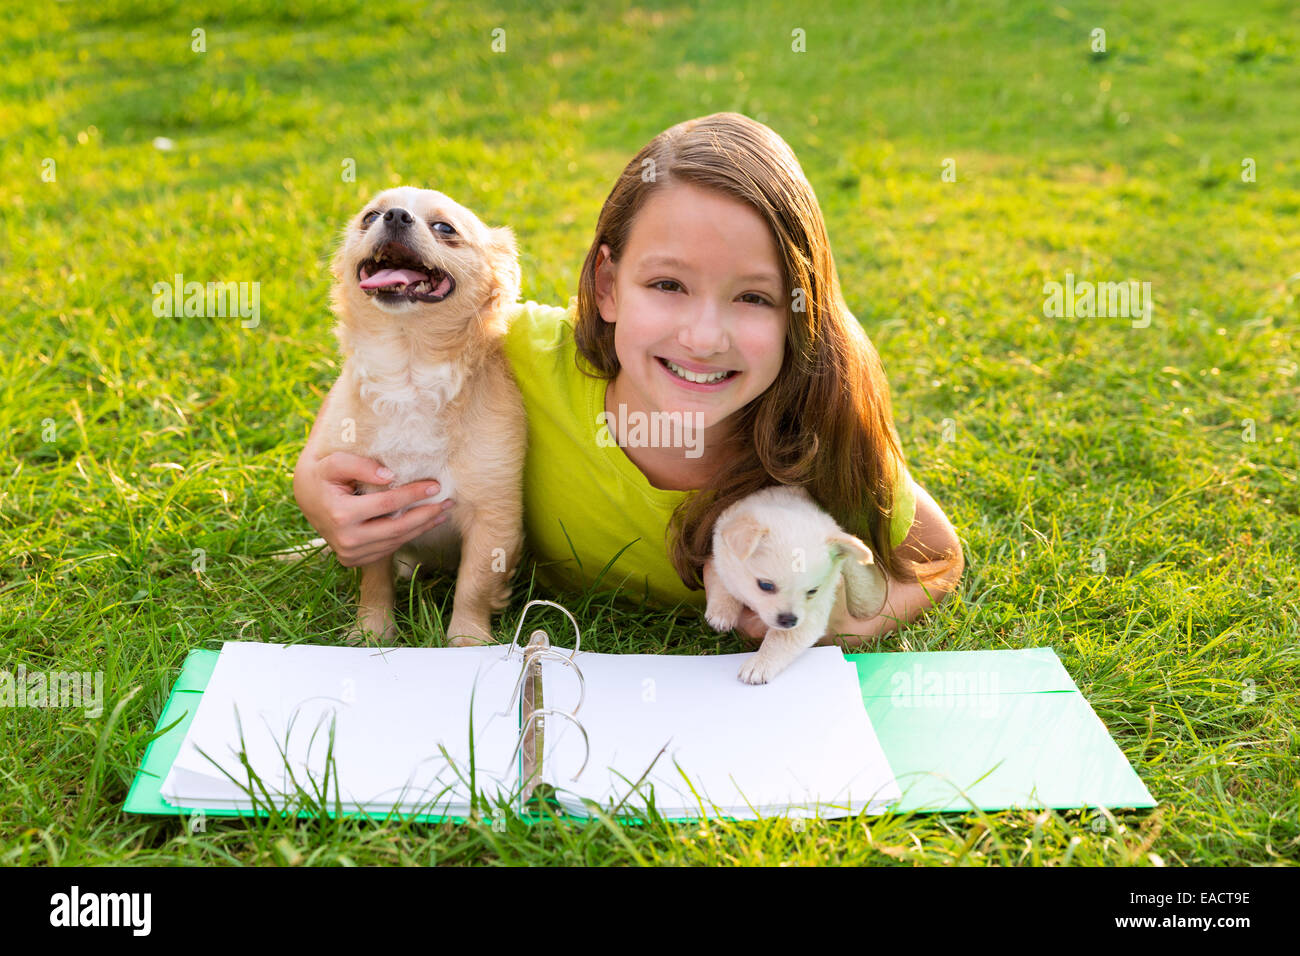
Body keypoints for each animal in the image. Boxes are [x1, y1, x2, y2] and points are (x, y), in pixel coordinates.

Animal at [317, 184, 525, 650]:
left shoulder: (494, 519)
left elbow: (474, 586)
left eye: (445, 228)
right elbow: (374, 580)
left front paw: (467, 642)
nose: (394, 215)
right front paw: (372, 632)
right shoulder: (366, 513)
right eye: (368, 217)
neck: (408, 371)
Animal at [707, 489, 889, 686]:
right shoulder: (720, 556)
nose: (789, 620)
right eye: (765, 585)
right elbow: (720, 575)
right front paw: (721, 611)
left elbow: (780, 638)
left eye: (813, 591)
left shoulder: (814, 612)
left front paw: (759, 664)